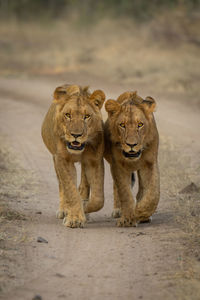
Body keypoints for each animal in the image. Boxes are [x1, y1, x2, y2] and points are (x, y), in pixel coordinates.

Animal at [41, 84, 105, 227]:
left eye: (87, 116)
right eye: (67, 115)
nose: (76, 135)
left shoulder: (94, 160)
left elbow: (98, 198)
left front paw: (85, 208)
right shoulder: (62, 160)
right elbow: (70, 190)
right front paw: (74, 218)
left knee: (84, 185)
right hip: (55, 160)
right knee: (61, 185)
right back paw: (63, 210)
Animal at [104, 90, 160, 226]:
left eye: (140, 124)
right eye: (122, 125)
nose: (131, 144)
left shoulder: (150, 163)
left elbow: (153, 192)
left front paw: (141, 212)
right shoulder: (118, 165)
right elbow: (124, 192)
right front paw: (128, 218)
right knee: (116, 187)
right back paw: (118, 210)